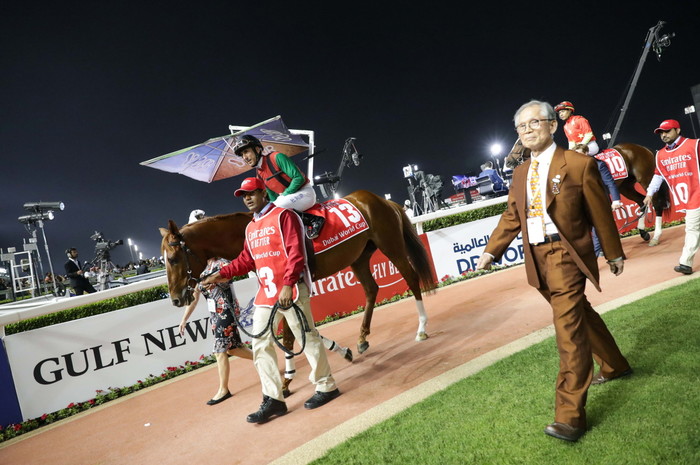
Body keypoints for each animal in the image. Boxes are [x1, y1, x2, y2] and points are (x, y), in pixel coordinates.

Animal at [505, 139, 670, 245]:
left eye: (519, 143)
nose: (508, 161)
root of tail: (643, 148)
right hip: (625, 186)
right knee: (641, 201)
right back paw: (643, 232)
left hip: (646, 178)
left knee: (655, 202)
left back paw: (656, 236)